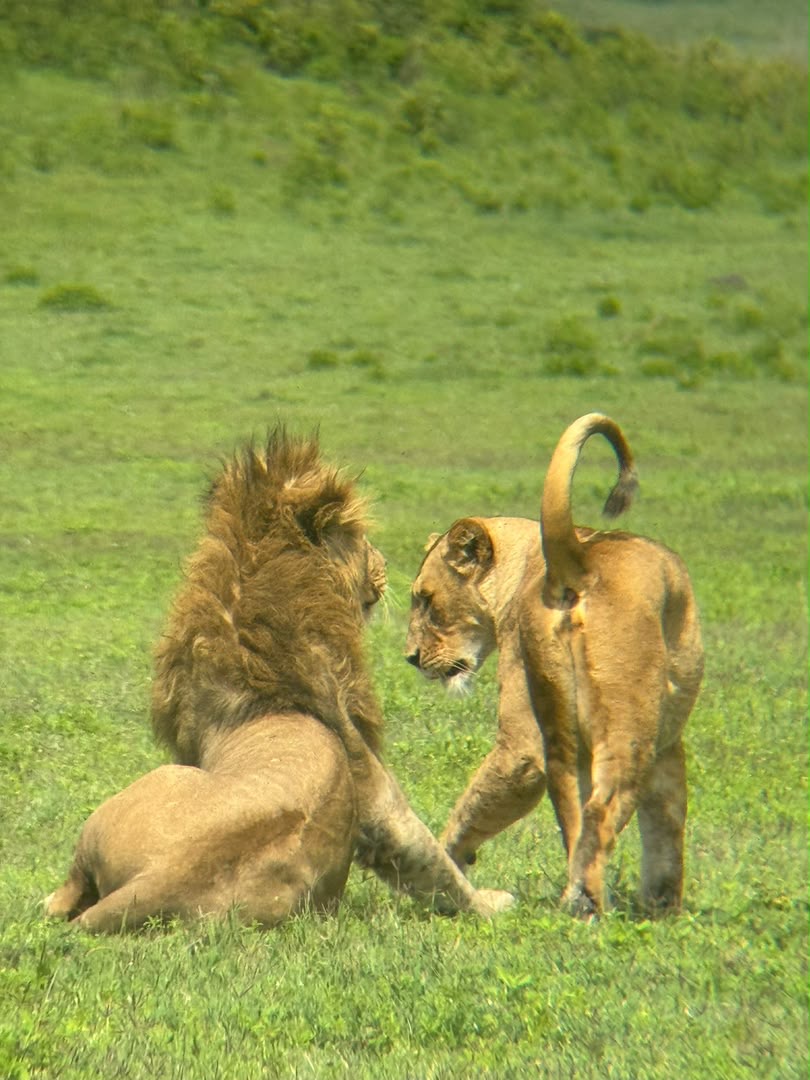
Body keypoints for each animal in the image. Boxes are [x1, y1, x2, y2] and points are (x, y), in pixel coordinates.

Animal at [45, 429, 513, 932]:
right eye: (363, 539)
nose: (386, 562)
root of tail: (152, 881)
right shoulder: (365, 770)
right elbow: (421, 849)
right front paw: (490, 902)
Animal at [406, 413, 704, 917]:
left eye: (426, 600)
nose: (409, 657)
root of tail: (579, 562)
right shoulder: (665, 742)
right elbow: (665, 828)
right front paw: (664, 909)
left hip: (560, 724)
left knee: (573, 811)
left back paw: (575, 898)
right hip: (628, 728)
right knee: (602, 809)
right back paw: (586, 904)